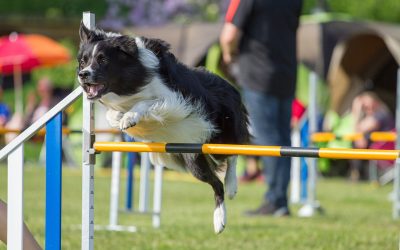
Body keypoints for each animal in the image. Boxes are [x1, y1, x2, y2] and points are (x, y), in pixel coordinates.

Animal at [76, 22, 248, 233]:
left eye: (103, 60)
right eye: (83, 62)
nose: (83, 75)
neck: (131, 82)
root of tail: (230, 85)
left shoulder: (173, 101)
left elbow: (145, 103)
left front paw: (130, 117)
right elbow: (111, 114)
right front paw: (120, 118)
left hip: (221, 133)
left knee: (232, 157)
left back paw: (226, 201)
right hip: (194, 157)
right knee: (216, 180)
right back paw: (220, 215)